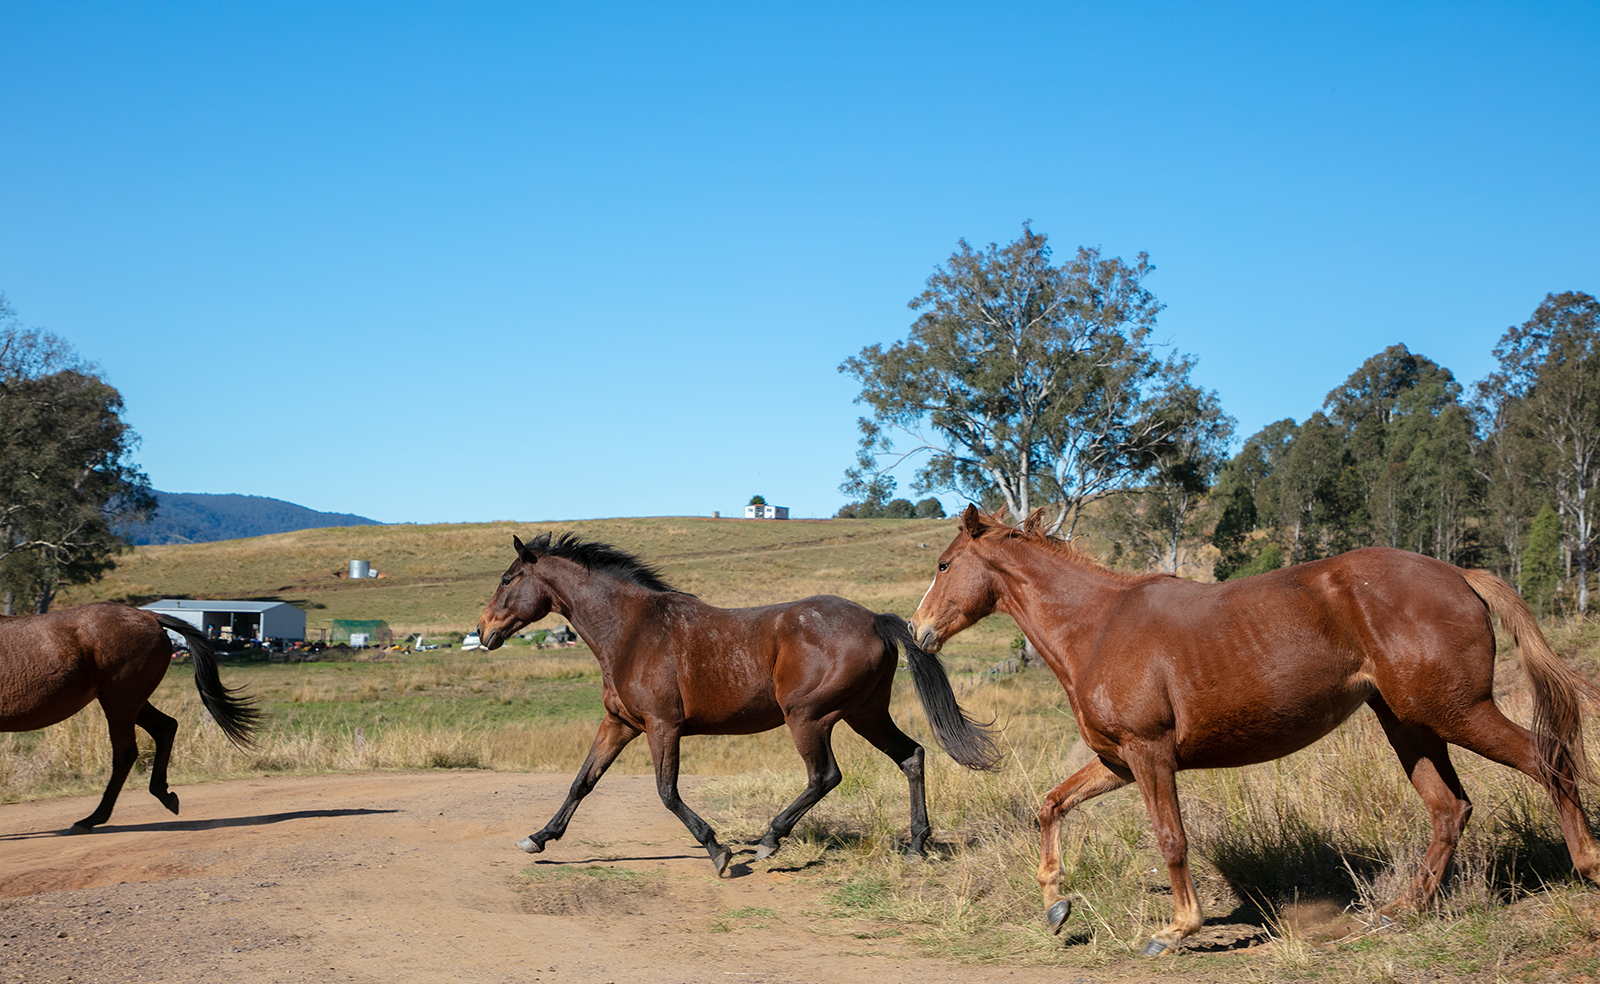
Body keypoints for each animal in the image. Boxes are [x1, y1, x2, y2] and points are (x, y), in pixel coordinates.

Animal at [0, 601, 256, 832]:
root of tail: (150, 616)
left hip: (120, 702)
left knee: (125, 753)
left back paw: (92, 819)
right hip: (133, 703)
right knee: (165, 727)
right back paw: (163, 794)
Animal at [473, 534, 998, 876]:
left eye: (506, 579)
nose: (482, 631)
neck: (631, 631)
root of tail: (874, 619)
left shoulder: (663, 726)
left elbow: (667, 792)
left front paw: (718, 850)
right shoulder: (619, 724)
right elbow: (583, 782)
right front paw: (539, 838)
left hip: (809, 717)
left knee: (825, 776)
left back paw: (768, 841)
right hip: (864, 714)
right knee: (912, 756)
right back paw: (916, 845)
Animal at [915, 508, 1600, 953]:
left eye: (945, 565)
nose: (919, 631)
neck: (1099, 625)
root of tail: (1458, 576)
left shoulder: (1149, 753)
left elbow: (1171, 839)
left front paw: (1177, 930)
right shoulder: (1117, 762)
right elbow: (1052, 804)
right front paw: (1056, 902)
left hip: (1458, 712)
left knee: (1547, 760)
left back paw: (1588, 863)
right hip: (1411, 725)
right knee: (1450, 809)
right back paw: (1399, 911)